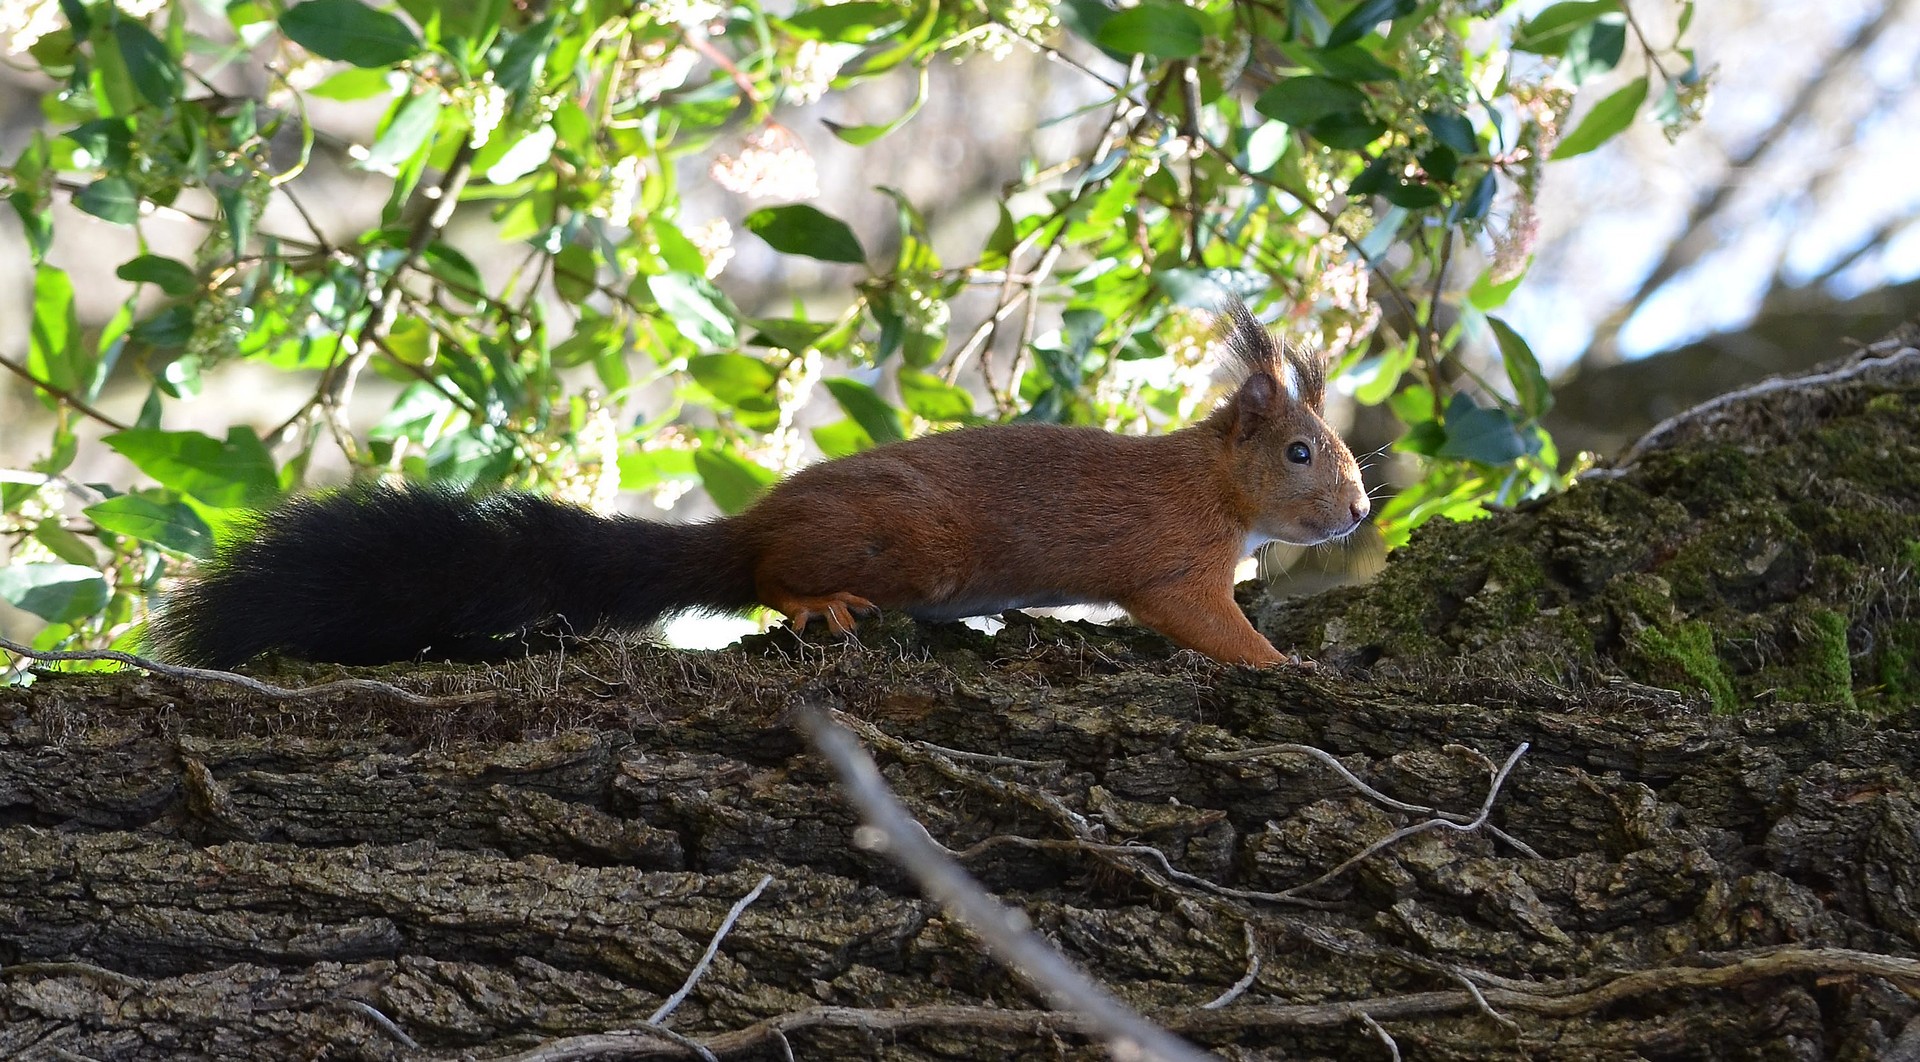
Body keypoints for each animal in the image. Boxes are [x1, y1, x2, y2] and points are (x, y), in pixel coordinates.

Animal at [149, 299, 1369, 669]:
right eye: (1302, 452)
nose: (1361, 511)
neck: (1215, 487)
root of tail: (742, 526)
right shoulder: (1170, 563)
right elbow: (1206, 624)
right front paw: (1285, 666)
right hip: (899, 546)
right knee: (763, 584)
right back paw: (815, 602)